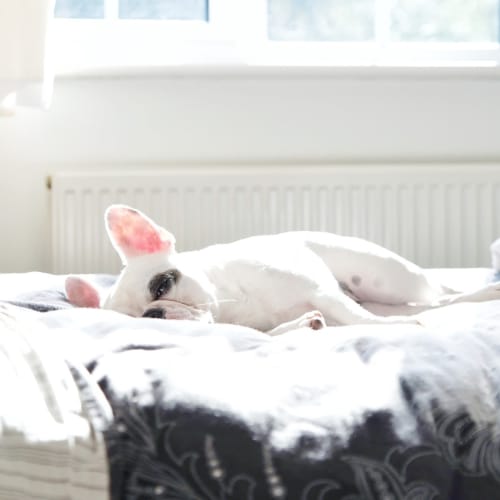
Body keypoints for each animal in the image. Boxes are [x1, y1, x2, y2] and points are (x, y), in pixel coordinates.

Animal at [64, 203, 500, 336]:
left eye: (162, 286)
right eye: (133, 320)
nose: (153, 314)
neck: (232, 305)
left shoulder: (322, 292)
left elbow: (359, 320)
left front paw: (392, 329)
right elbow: (278, 332)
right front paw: (304, 325)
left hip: (390, 279)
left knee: (440, 294)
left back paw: (483, 292)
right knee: (430, 305)